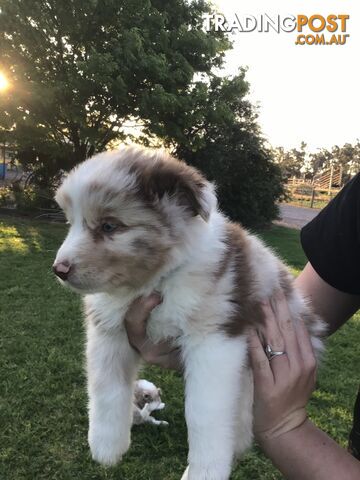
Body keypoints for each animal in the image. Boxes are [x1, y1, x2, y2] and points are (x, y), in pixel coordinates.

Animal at [53, 146, 326, 480]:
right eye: (71, 222)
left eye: (109, 226)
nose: (59, 269)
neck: (156, 280)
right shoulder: (109, 330)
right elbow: (107, 387)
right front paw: (106, 447)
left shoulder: (215, 340)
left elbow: (203, 411)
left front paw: (205, 471)